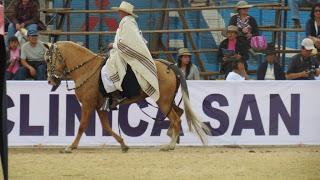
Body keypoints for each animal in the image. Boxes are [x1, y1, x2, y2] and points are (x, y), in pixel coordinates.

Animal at [45, 41, 210, 153]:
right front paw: (123, 144)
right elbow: (107, 127)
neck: (87, 69)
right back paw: (171, 136)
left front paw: (70, 147)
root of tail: (169, 65)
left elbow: (82, 126)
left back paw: (170, 145)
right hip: (168, 101)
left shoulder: (87, 104)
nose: (51, 80)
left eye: (48, 59)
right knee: (179, 112)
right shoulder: (100, 107)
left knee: (176, 119)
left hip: (162, 102)